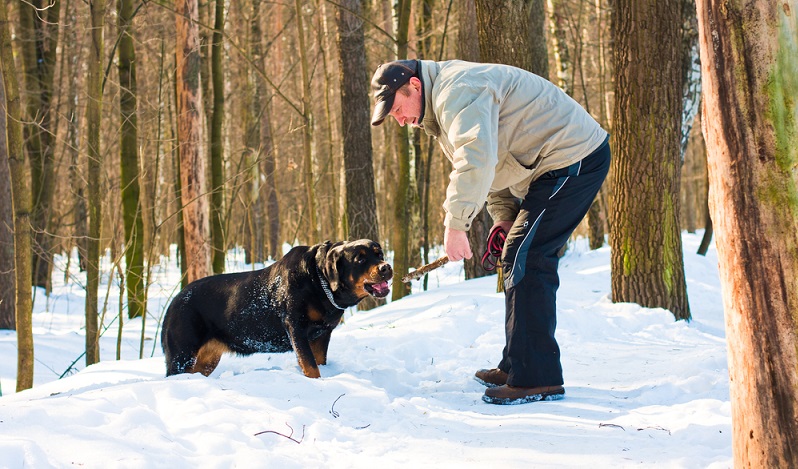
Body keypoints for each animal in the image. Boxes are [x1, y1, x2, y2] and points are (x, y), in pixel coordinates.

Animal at [160, 239, 394, 378]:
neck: (318, 281)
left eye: (380, 254)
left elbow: (319, 360)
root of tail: (174, 301)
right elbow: (310, 365)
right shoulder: (296, 327)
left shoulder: (322, 334)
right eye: (360, 259)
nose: (386, 267)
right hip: (182, 355)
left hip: (206, 360)